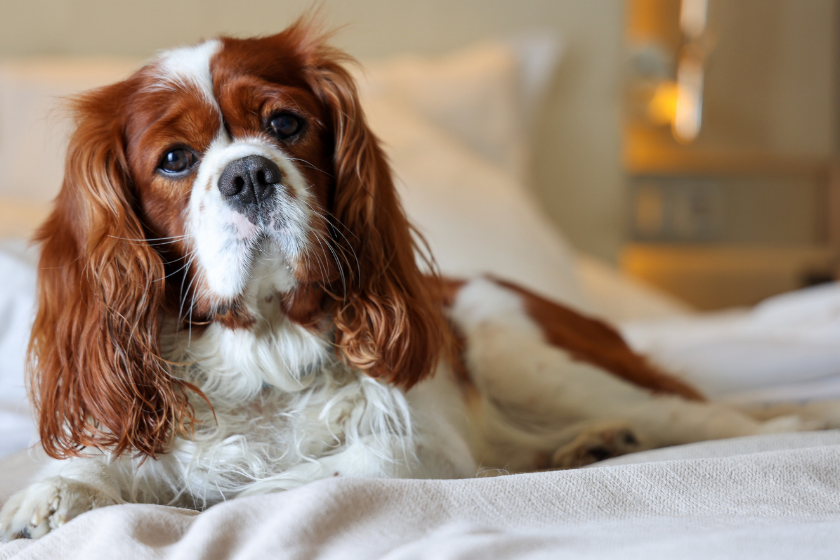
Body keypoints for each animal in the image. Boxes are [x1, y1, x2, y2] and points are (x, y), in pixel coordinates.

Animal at [0, 19, 832, 540]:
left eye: (285, 124)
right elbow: (91, 465)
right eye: (174, 159)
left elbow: (324, 474)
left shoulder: (421, 450)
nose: (248, 175)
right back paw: (588, 447)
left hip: (520, 348)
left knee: (707, 417)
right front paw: (53, 495)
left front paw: (211, 505)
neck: (262, 352)